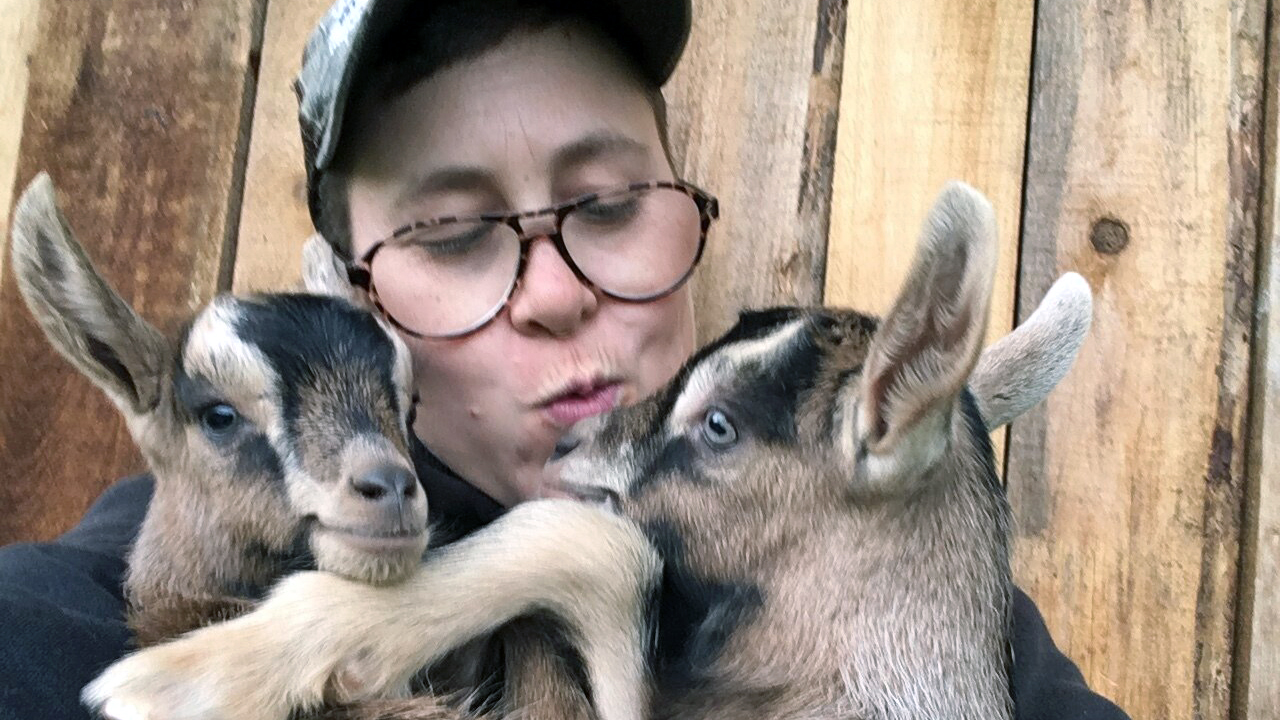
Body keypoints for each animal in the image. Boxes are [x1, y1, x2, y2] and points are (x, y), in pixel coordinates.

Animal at [12, 172, 660, 717]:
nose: (390, 487)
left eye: (410, 404)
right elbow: (595, 541)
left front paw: (200, 678)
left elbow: (598, 543)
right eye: (218, 415)